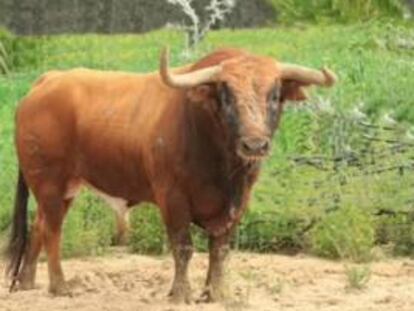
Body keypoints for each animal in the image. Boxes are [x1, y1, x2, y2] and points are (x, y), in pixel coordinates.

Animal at [5, 47, 336, 304]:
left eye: (275, 94)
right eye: (226, 95)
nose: (254, 144)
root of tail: (47, 81)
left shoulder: (237, 204)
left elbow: (220, 250)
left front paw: (215, 294)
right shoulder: (173, 199)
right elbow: (183, 247)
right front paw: (181, 294)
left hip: (65, 188)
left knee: (39, 225)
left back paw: (27, 283)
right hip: (48, 183)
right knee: (52, 230)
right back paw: (59, 286)